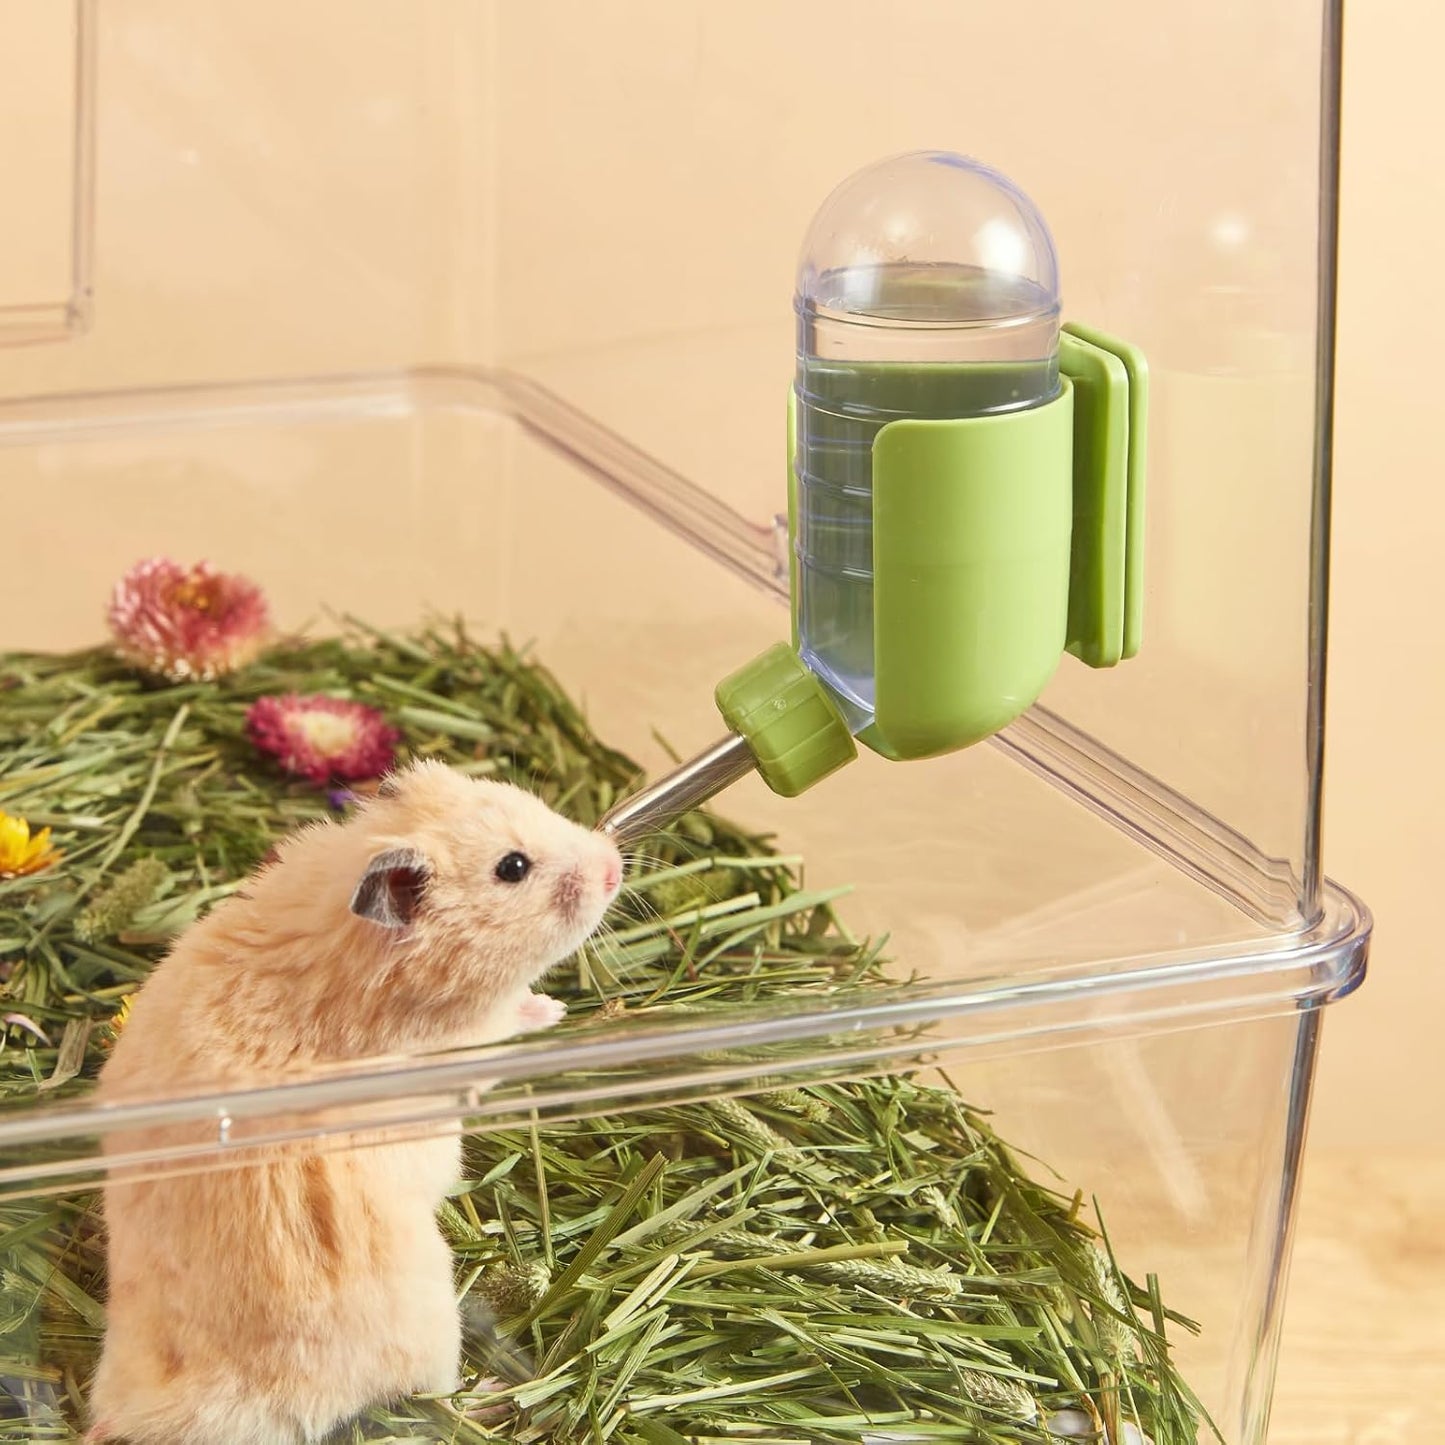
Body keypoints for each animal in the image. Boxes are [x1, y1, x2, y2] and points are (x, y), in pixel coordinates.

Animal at [86, 759, 623, 1445]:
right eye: (513, 867)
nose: (615, 864)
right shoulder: (463, 1046)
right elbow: (509, 1024)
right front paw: (551, 1009)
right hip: (432, 1318)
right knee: (435, 1398)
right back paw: (498, 1396)